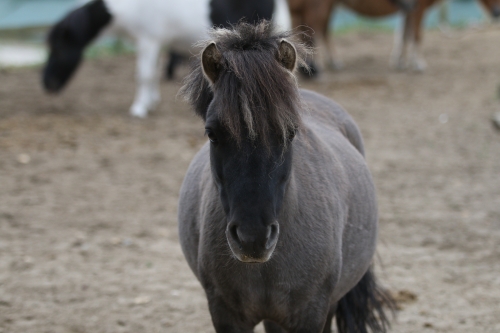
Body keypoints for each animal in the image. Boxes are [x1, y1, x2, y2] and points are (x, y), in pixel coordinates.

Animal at [288, 0, 500, 72]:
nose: (497, 12)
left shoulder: (410, 9)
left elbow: (405, 35)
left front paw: (400, 61)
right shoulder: (418, 9)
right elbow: (416, 35)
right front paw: (417, 63)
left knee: (320, 31)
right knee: (314, 30)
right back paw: (316, 67)